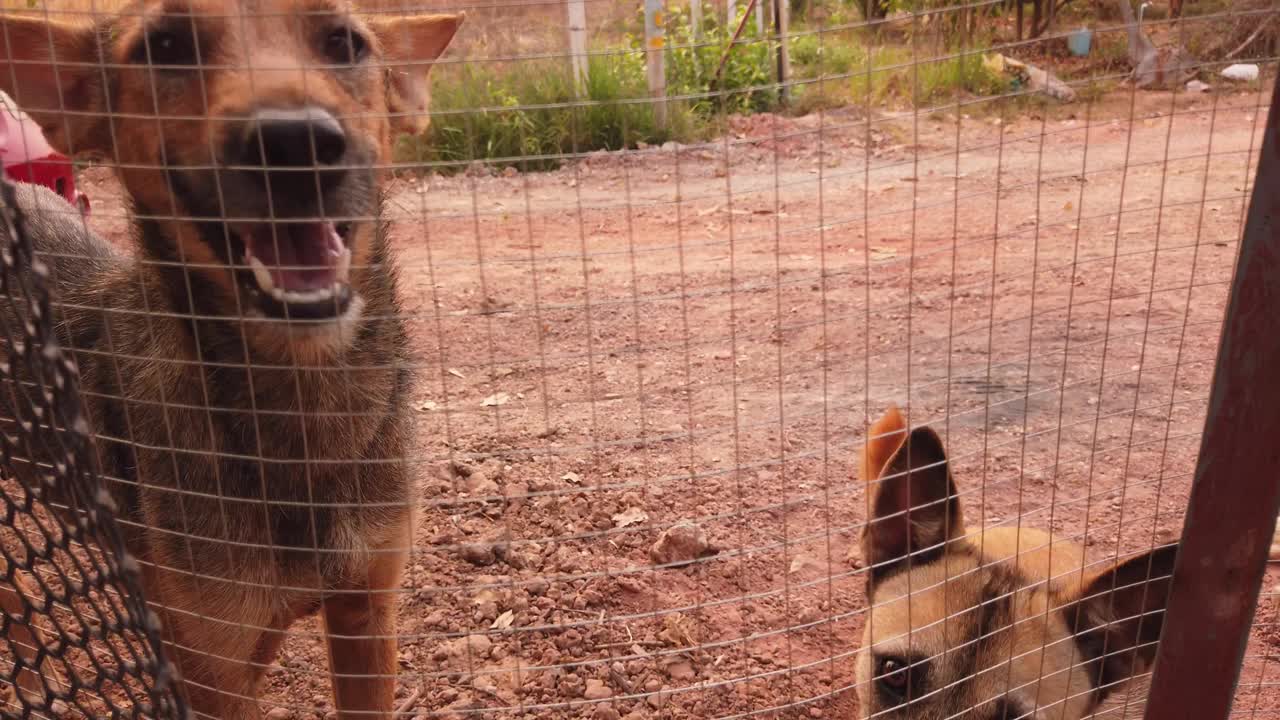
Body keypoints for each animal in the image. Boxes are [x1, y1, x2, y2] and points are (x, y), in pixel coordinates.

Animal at [0, 2, 465, 712]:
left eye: (344, 42)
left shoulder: (366, 607)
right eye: (165, 46)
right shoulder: (213, 668)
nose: (294, 145)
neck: (303, 420)